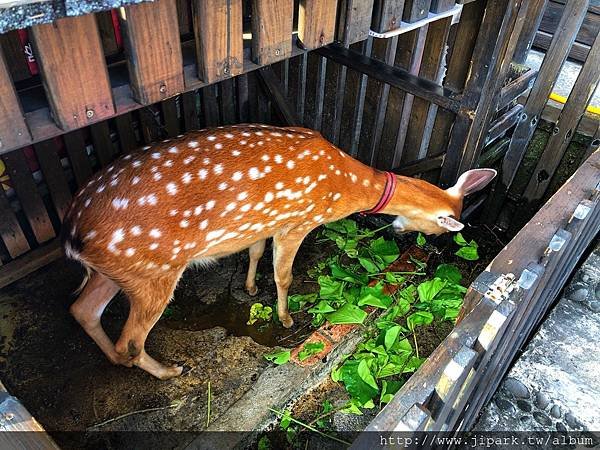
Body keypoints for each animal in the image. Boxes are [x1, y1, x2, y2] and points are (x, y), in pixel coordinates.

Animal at [62, 124, 496, 380]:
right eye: (441, 225)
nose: (413, 237)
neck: (348, 184)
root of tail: (73, 230)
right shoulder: (298, 220)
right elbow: (283, 274)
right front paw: (286, 318)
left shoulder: (264, 222)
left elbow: (255, 252)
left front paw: (251, 289)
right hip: (153, 269)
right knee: (130, 340)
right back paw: (170, 371)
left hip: (115, 271)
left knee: (82, 309)